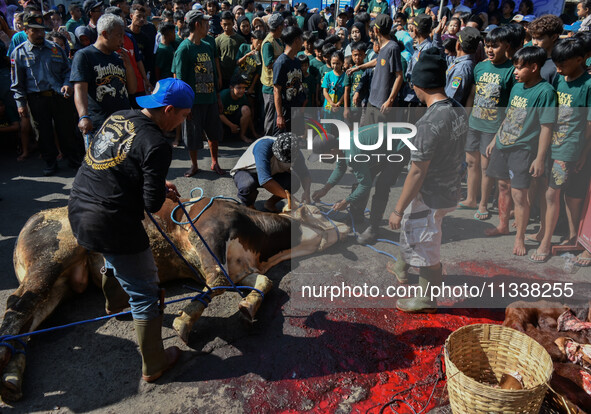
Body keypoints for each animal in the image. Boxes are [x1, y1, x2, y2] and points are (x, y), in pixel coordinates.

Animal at [0, 197, 352, 402]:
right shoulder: (207, 232)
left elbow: (264, 282)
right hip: (52, 256)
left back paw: (12, 377)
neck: (260, 236)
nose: (350, 224)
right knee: (17, 305)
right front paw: (185, 320)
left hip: (61, 284)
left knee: (28, 323)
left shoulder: (242, 268)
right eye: (317, 211)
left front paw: (248, 308)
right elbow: (216, 281)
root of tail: (33, 219)